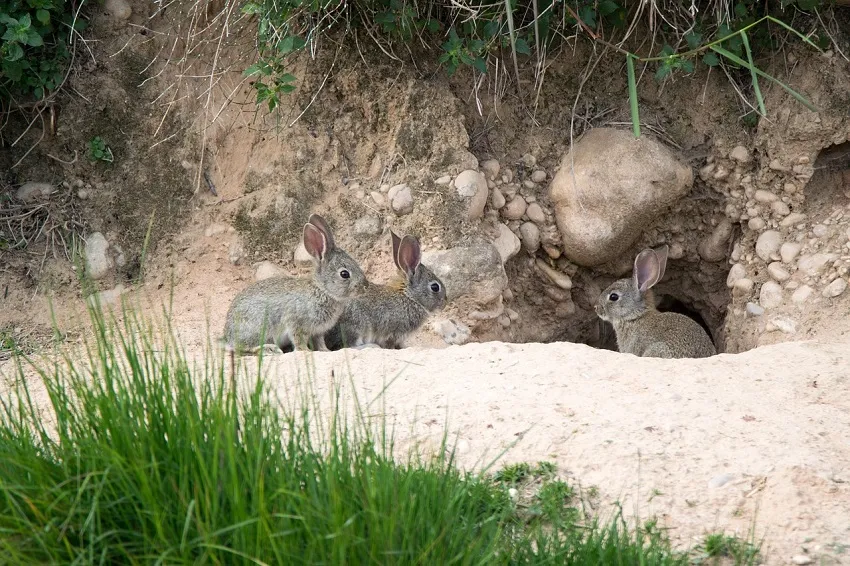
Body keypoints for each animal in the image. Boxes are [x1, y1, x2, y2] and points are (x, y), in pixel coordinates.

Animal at [222, 214, 367, 354]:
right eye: (344, 274)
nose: (365, 287)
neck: (322, 290)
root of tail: (228, 336)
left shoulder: (318, 331)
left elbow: (319, 341)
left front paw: (325, 350)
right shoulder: (296, 322)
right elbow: (298, 339)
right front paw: (305, 351)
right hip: (257, 328)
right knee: (241, 347)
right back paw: (269, 349)